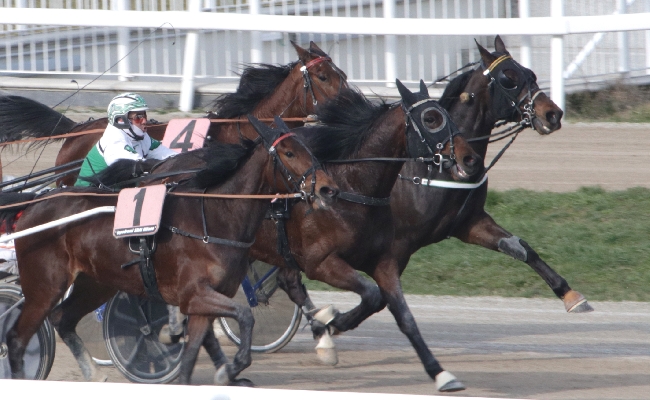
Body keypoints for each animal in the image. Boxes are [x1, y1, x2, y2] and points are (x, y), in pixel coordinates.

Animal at [3, 122, 340, 384]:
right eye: (289, 153)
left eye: (309, 150)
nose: (328, 189)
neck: (213, 219)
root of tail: (31, 206)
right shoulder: (193, 294)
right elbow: (245, 315)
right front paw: (232, 365)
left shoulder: (206, 300)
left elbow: (194, 355)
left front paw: (226, 372)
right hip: (45, 285)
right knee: (17, 339)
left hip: (96, 283)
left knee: (63, 318)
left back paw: (94, 374)